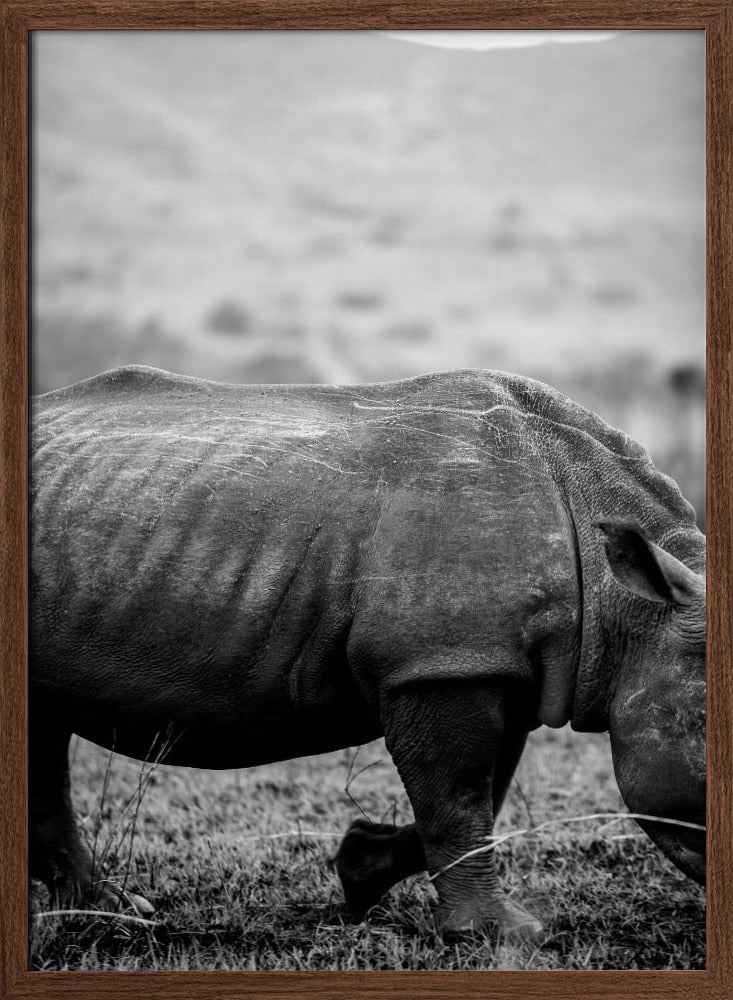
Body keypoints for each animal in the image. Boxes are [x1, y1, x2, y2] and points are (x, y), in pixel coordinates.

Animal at [30, 366, 706, 939]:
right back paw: (113, 912)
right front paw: (500, 935)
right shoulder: (440, 662)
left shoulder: (488, 662)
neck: (631, 609)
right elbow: (459, 796)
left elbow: (484, 788)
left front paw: (361, 869)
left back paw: (108, 909)